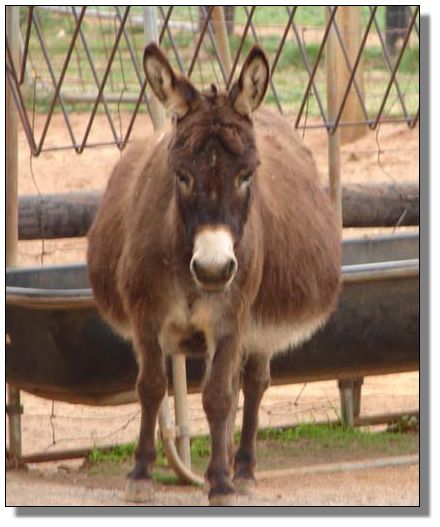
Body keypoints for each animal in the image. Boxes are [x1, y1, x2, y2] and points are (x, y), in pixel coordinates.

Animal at [87, 43, 341, 505]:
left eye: (247, 174)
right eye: (181, 174)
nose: (212, 268)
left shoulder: (231, 317)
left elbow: (220, 396)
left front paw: (221, 482)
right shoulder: (145, 315)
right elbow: (152, 386)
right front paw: (141, 474)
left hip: (257, 329)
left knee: (253, 384)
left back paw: (242, 471)